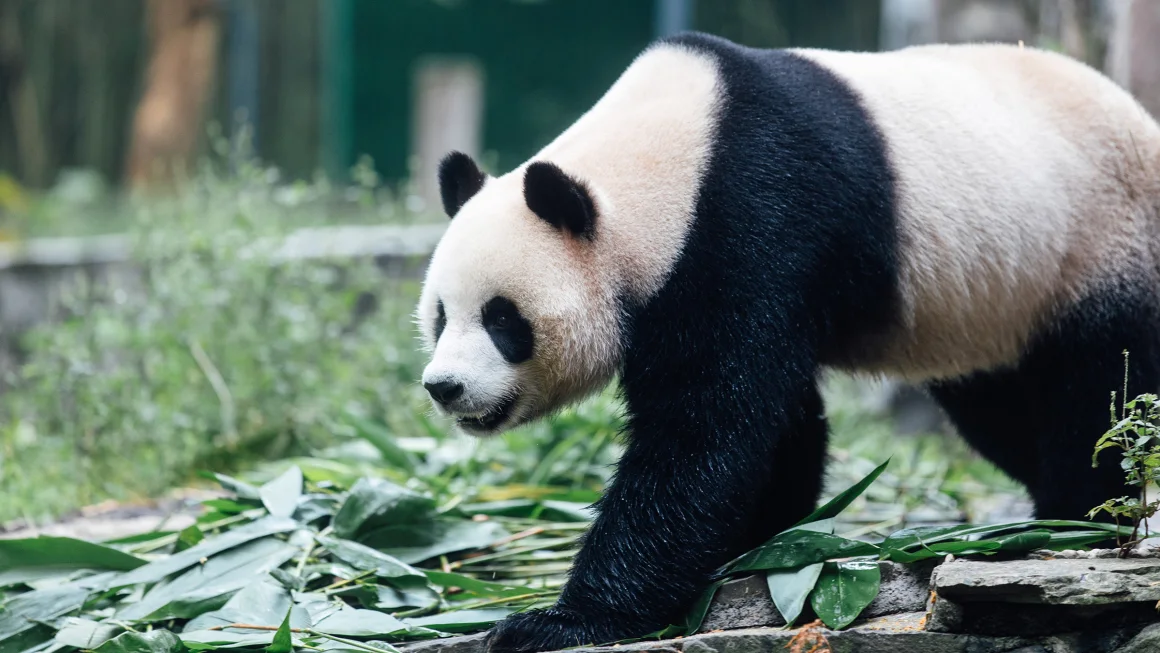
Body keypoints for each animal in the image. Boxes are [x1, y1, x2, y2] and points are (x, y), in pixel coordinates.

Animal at [412, 30, 1160, 653]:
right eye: (442, 316)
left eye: (504, 320)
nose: (444, 387)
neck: (667, 162)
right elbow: (773, 424)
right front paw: (762, 537)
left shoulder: (754, 215)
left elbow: (706, 432)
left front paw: (555, 621)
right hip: (995, 308)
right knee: (1001, 406)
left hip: (1096, 245)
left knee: (1100, 395)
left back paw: (1075, 516)